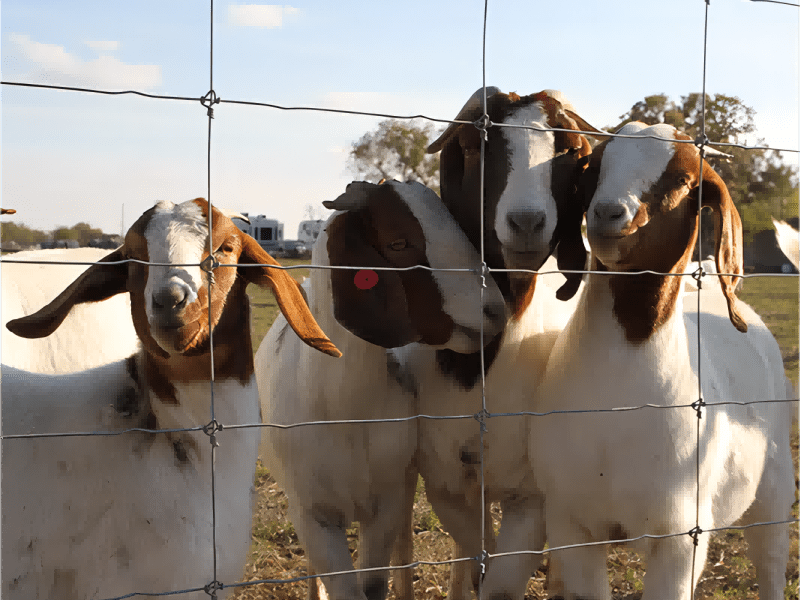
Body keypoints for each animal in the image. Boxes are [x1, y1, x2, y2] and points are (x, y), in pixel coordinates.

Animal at [256, 180, 508, 600]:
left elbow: (374, 583)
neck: (346, 408)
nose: (496, 312)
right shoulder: (313, 515)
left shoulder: (386, 501)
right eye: (399, 243)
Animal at [390, 87, 605, 600]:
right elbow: (476, 557)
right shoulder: (445, 483)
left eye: (570, 151)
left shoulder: (533, 494)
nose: (527, 222)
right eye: (472, 145)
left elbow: (500, 583)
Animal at [529, 123, 795, 599]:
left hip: (774, 490)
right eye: (594, 169)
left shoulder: (679, 538)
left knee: (770, 562)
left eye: (681, 180)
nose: (608, 213)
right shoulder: (572, 524)